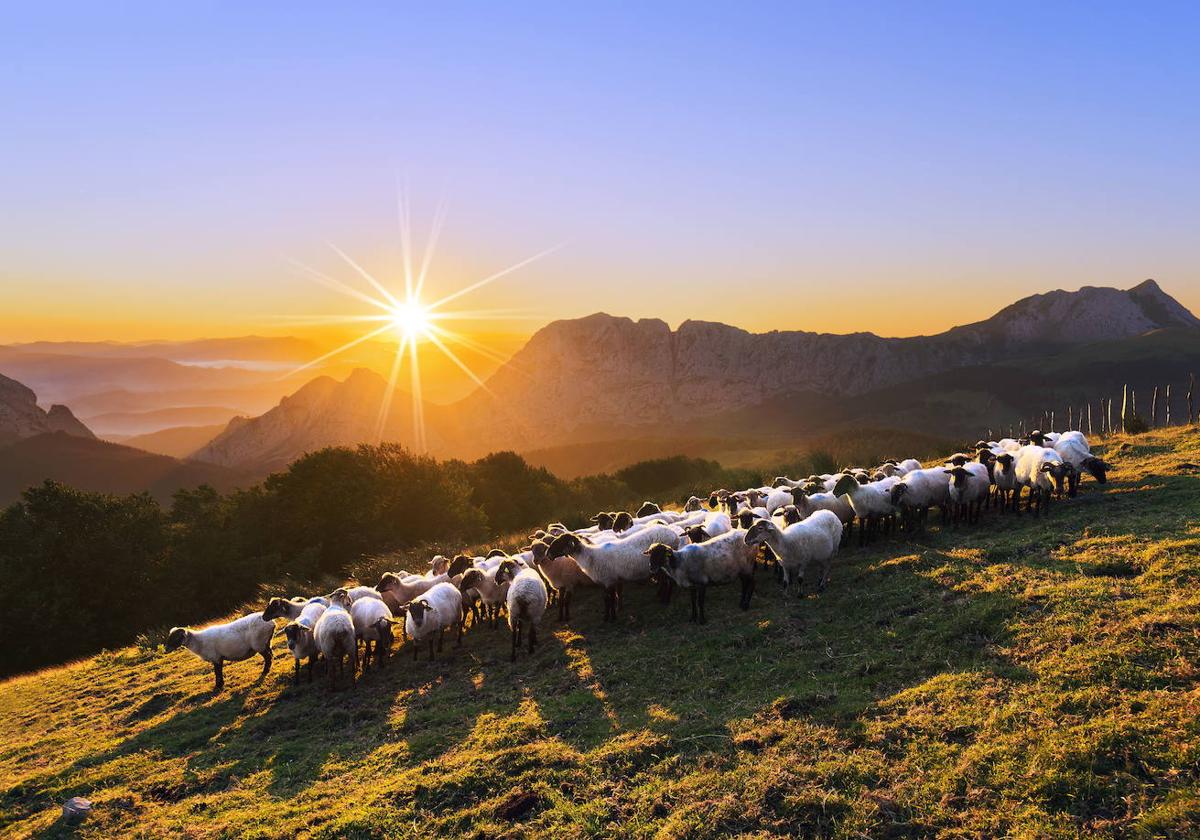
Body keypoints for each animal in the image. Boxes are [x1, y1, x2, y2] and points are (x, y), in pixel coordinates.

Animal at [547, 520, 681, 619]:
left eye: (561, 542)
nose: (548, 554)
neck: (590, 556)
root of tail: (674, 534)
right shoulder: (609, 581)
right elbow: (610, 598)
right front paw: (612, 614)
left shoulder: (608, 580)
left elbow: (608, 599)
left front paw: (609, 618)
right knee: (665, 581)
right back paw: (661, 597)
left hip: (663, 564)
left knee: (668, 581)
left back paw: (665, 599)